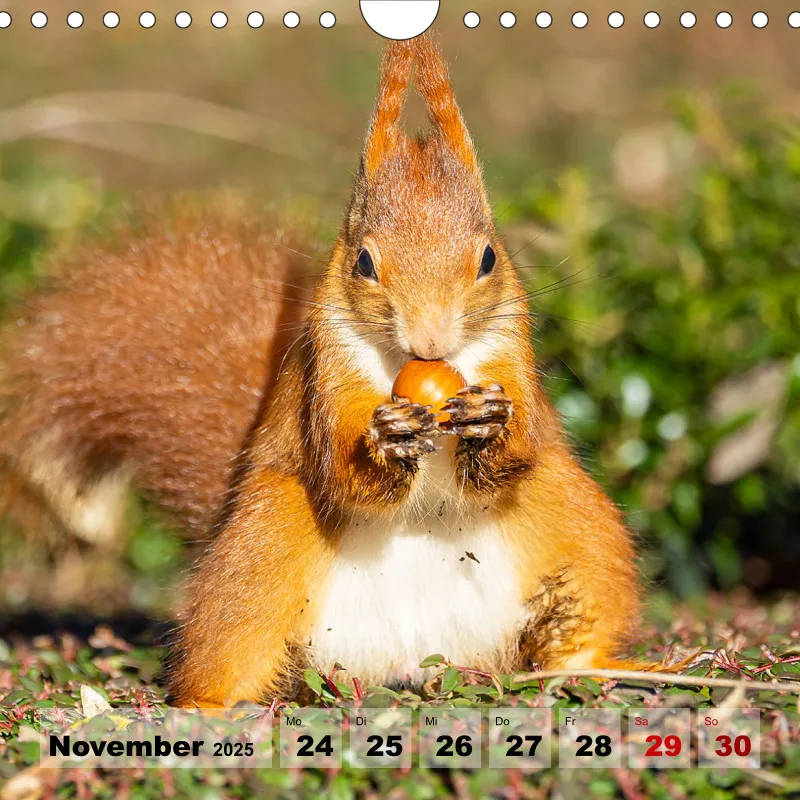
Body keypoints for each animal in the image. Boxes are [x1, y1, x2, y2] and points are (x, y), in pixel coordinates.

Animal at [0, 34, 680, 707]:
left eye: (488, 257)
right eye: (364, 263)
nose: (432, 338)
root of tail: (410, 659)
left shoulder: (511, 354)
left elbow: (518, 450)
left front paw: (489, 420)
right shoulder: (327, 372)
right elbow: (341, 469)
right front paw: (386, 439)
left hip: (577, 531)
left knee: (574, 634)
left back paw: (626, 665)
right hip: (262, 549)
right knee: (227, 647)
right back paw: (206, 704)